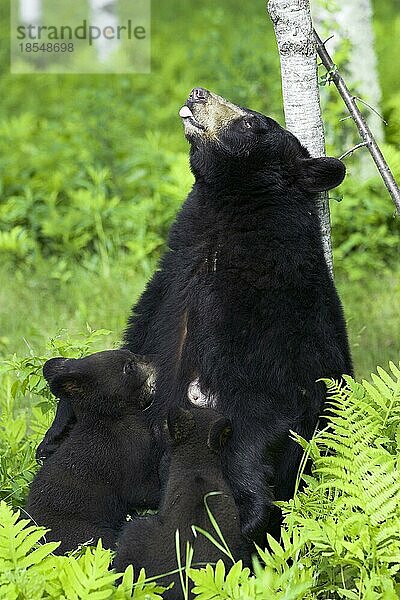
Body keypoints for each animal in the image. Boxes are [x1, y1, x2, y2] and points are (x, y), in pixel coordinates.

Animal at [26, 352, 161, 552]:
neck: (112, 418)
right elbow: (141, 490)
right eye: (128, 366)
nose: (152, 359)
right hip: (86, 533)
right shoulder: (126, 455)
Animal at [123, 90, 352, 544]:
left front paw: (240, 520)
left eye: (250, 123)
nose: (198, 93)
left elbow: (263, 414)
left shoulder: (275, 322)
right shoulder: (167, 294)